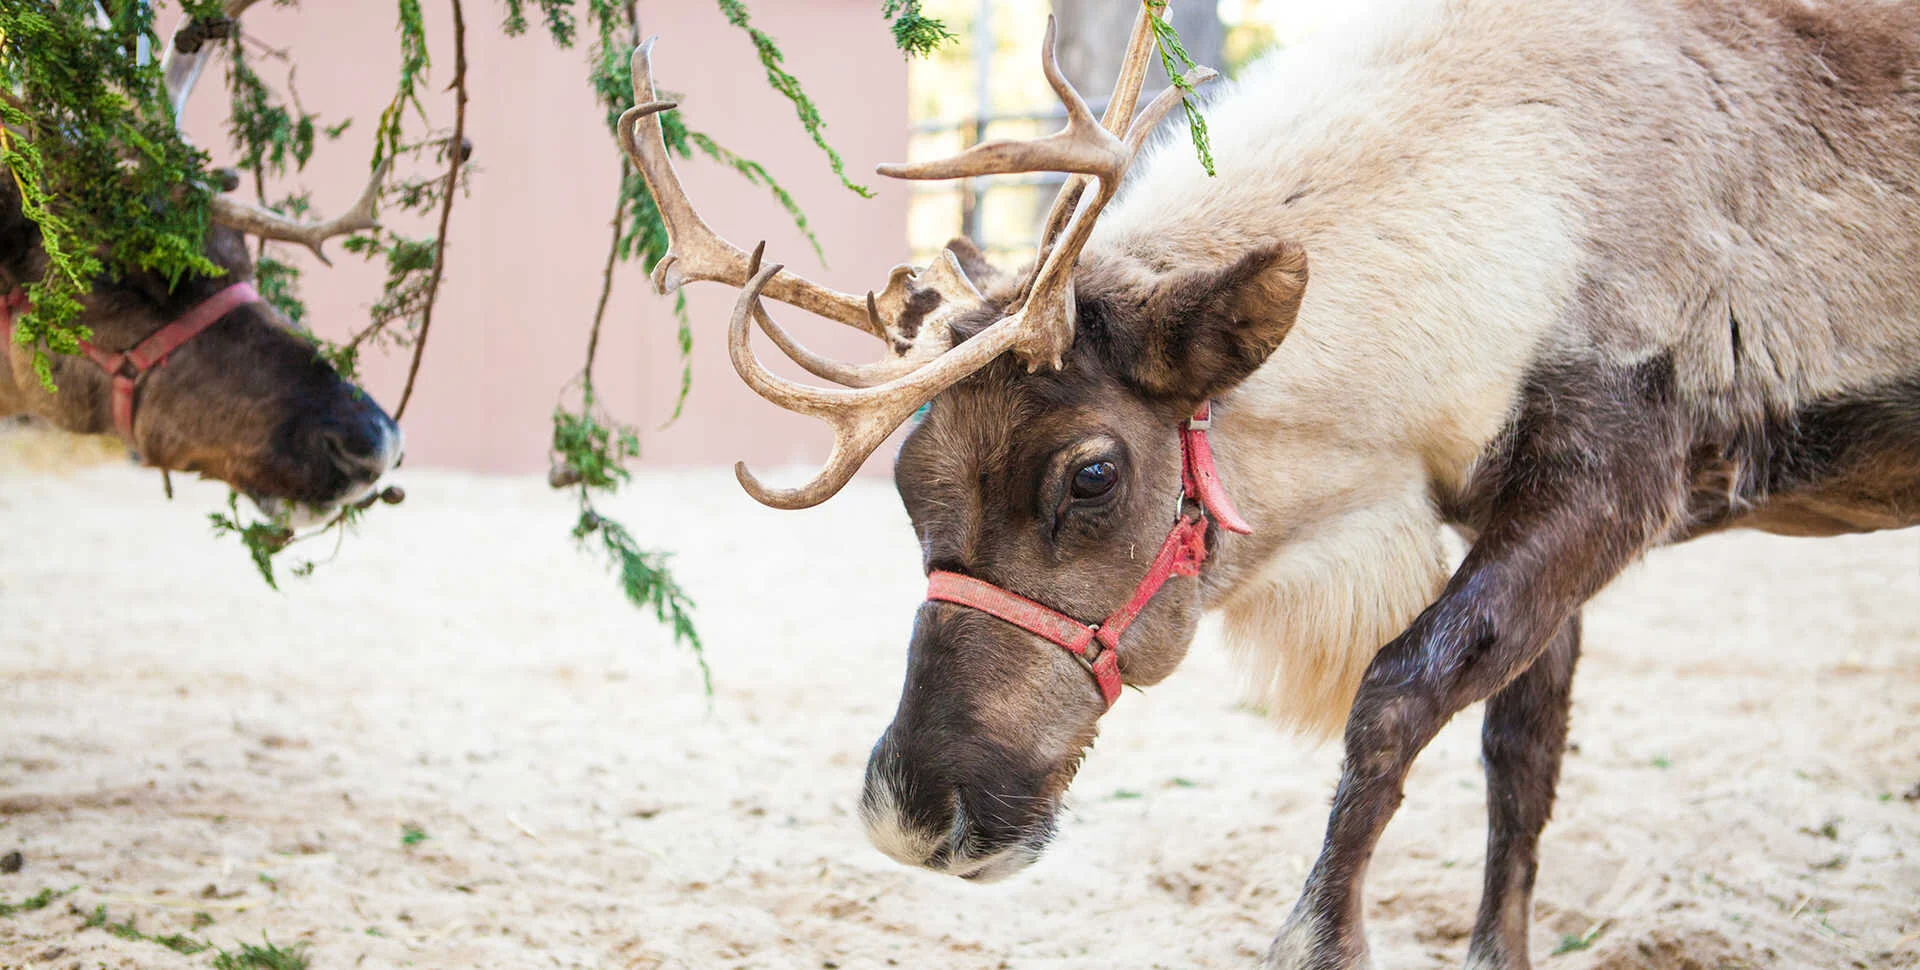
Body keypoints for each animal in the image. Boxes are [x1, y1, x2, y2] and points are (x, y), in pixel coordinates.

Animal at [618, 0, 1920, 966]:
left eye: (1093, 472)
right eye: (907, 477)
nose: (909, 811)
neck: (1528, 207)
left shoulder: (1615, 474)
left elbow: (1397, 696)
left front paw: (1320, 939)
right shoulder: (1519, 511)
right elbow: (1522, 759)